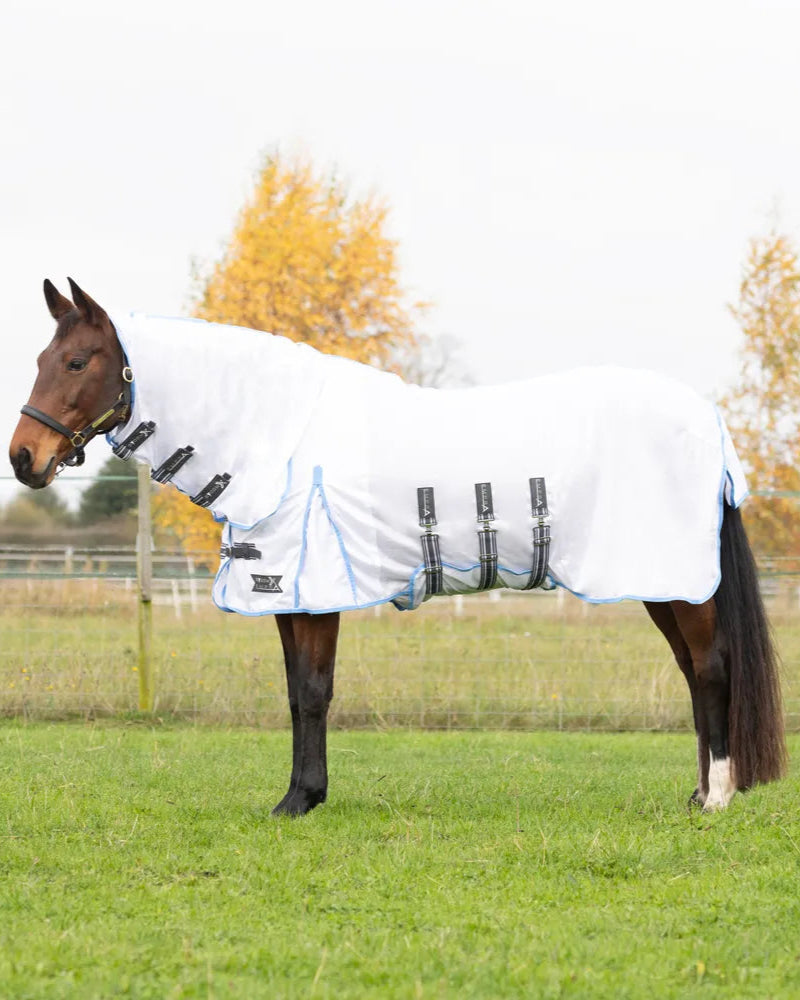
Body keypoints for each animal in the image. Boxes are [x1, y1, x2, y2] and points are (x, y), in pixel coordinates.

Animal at [9, 278, 787, 815]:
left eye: (77, 360)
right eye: (43, 356)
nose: (23, 458)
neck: (279, 436)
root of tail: (707, 423)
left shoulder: (316, 594)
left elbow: (313, 692)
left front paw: (299, 800)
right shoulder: (289, 594)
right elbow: (295, 693)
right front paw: (301, 794)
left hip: (679, 583)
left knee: (712, 669)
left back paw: (718, 796)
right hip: (662, 582)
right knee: (692, 674)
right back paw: (698, 792)